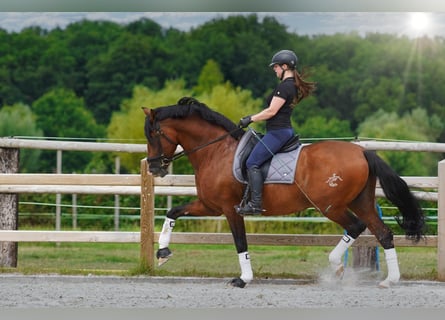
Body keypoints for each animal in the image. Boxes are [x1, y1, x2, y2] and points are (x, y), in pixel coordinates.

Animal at [142, 96, 424, 288]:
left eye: (154, 133)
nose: (154, 167)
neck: (216, 151)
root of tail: (362, 151)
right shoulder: (210, 205)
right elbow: (173, 212)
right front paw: (163, 254)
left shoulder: (230, 209)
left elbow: (240, 243)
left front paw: (243, 279)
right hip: (360, 201)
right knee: (383, 233)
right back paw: (389, 280)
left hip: (330, 205)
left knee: (355, 227)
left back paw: (336, 268)